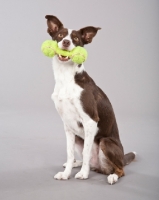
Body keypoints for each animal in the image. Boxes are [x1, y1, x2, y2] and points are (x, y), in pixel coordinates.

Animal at [44, 15, 135, 184]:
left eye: (75, 39)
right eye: (60, 35)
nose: (66, 42)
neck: (66, 78)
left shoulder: (90, 121)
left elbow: (86, 153)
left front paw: (83, 174)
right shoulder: (68, 125)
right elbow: (69, 152)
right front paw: (66, 173)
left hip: (106, 142)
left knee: (120, 169)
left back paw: (112, 175)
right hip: (78, 137)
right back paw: (76, 164)